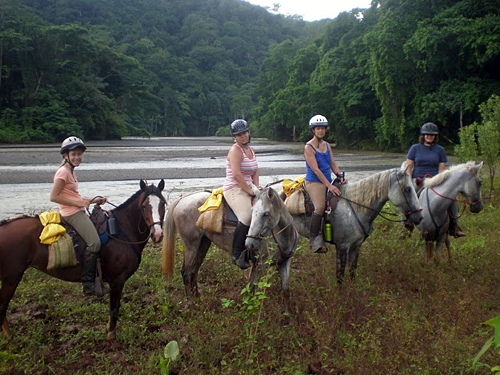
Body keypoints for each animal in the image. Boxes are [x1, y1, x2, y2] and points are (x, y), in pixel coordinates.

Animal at [0, 181, 168, 342]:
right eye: (144, 206)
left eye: (163, 204)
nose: (157, 234)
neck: (122, 231)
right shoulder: (117, 280)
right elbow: (114, 309)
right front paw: (111, 336)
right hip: (11, 277)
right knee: (2, 306)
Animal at [162, 187, 298, 314]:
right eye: (252, 212)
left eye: (266, 213)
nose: (250, 244)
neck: (283, 236)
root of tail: (181, 200)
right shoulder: (260, 265)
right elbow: (253, 288)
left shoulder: (285, 262)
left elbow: (285, 289)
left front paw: (287, 314)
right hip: (191, 245)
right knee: (186, 272)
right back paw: (191, 303)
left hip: (203, 244)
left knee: (193, 271)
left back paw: (197, 299)